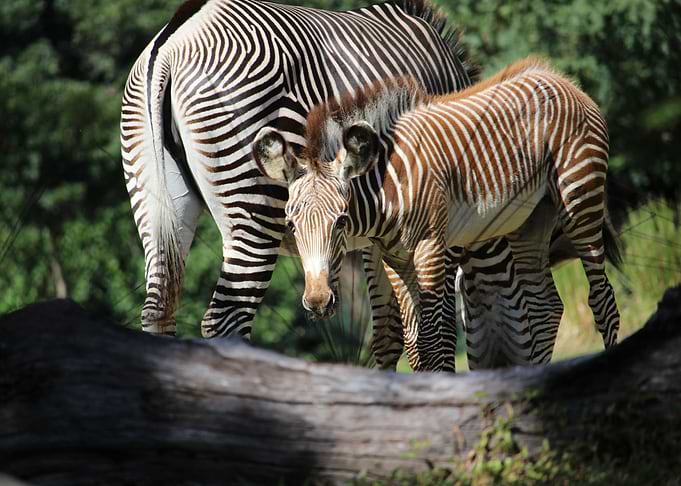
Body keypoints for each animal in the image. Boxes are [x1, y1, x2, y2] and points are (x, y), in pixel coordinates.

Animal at [120, 0, 482, 370]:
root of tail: (172, 43)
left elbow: (392, 332)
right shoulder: (431, 226)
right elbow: (437, 334)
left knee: (157, 311)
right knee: (227, 317)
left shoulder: (374, 229)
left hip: (154, 200)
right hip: (253, 203)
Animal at [252, 58, 621, 372]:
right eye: (291, 225)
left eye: (341, 220)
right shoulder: (395, 260)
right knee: (545, 308)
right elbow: (416, 344)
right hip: (529, 220)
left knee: (602, 299)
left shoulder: (429, 248)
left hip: (579, 197)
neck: (384, 189)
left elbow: (434, 341)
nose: (318, 301)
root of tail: (561, 79)